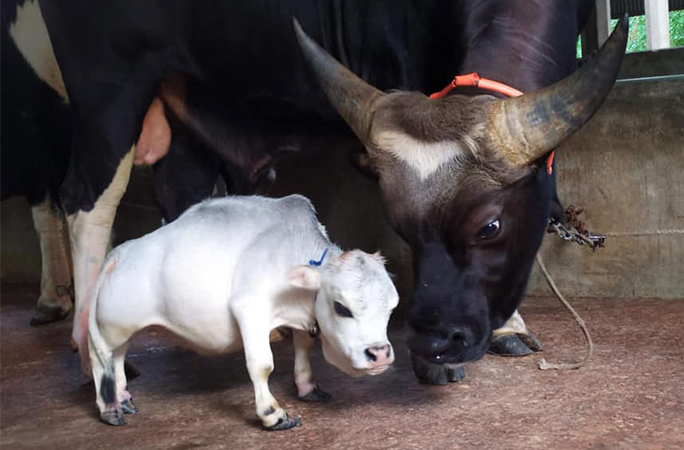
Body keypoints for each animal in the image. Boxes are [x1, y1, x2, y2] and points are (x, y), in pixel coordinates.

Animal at [89, 195, 400, 430]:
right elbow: (262, 365)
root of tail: (119, 253)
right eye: (341, 307)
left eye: (392, 307)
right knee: (100, 356)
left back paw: (123, 397)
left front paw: (308, 388)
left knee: (118, 357)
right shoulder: (251, 308)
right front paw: (273, 415)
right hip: (114, 326)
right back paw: (110, 408)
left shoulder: (301, 317)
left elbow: (303, 347)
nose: (380, 354)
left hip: (123, 326)